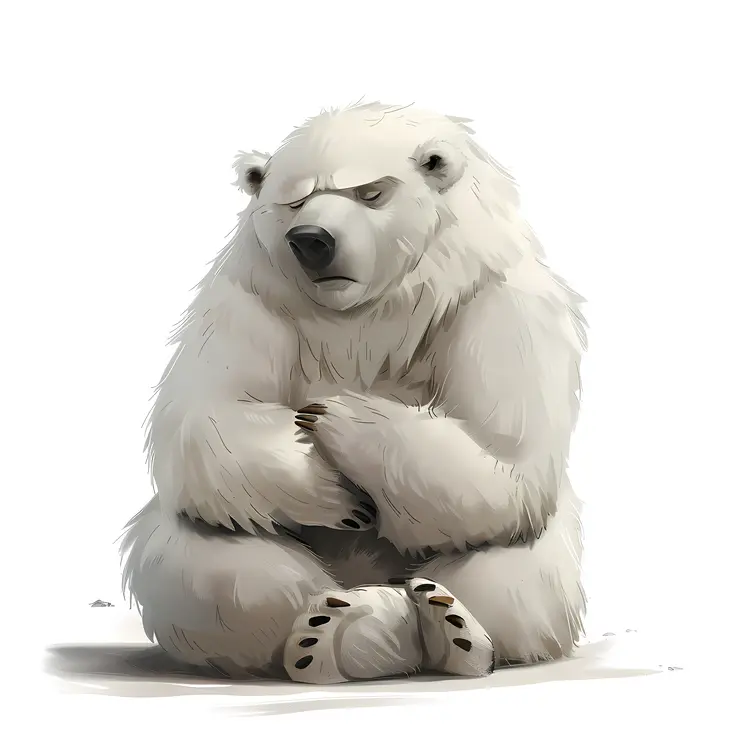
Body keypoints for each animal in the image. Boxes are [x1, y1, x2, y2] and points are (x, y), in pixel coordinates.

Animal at [120, 101, 588, 684]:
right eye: (295, 198)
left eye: (370, 191)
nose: (311, 240)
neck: (367, 316)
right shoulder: (250, 298)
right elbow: (203, 418)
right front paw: (337, 495)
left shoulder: (500, 303)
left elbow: (504, 456)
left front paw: (339, 415)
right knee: (212, 565)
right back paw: (333, 630)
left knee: (515, 572)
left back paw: (441, 626)